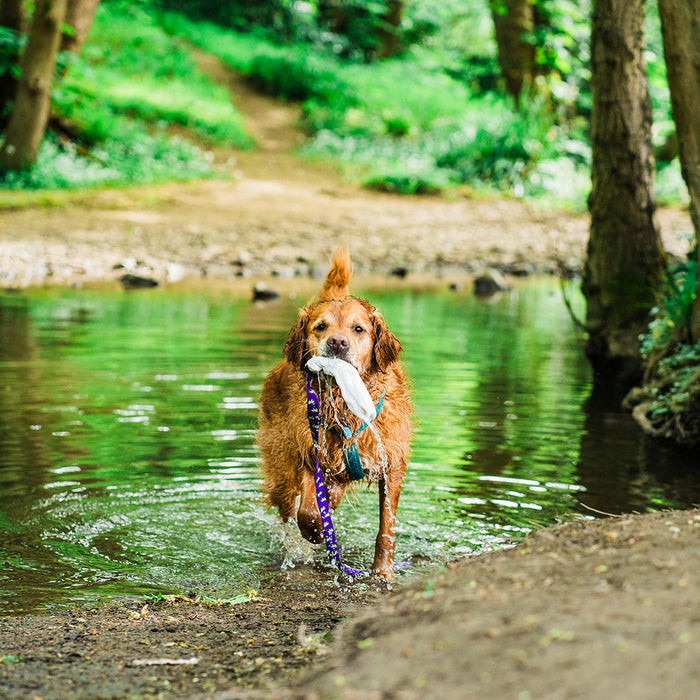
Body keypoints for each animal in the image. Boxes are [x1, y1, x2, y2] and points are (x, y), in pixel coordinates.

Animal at [256, 249, 410, 576]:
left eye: (358, 329)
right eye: (320, 327)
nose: (337, 342)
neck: (344, 407)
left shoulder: (391, 463)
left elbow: (386, 528)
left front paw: (382, 573)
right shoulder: (308, 452)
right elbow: (308, 511)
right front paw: (315, 532)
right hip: (281, 463)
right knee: (288, 507)